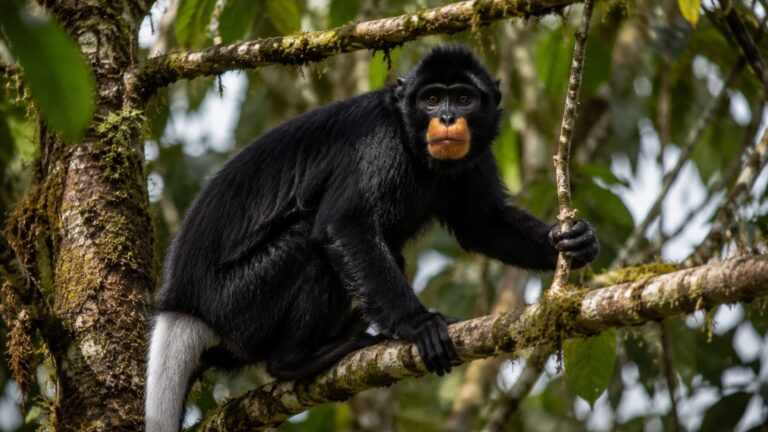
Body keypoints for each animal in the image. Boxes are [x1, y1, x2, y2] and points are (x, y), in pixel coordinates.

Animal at [145, 44, 598, 432]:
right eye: (432, 100)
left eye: (463, 98)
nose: (447, 118)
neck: (411, 140)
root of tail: (184, 301)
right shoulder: (378, 144)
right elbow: (342, 226)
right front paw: (418, 325)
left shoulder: (474, 155)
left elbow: (483, 224)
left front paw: (571, 242)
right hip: (238, 302)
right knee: (307, 242)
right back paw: (300, 360)